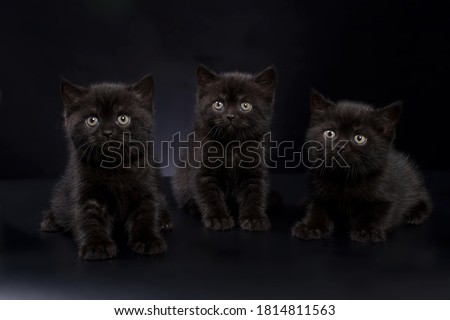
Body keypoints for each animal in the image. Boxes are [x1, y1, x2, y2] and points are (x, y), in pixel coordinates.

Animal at [41, 75, 171, 260]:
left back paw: (164, 219)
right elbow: (89, 218)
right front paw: (97, 245)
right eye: (92, 120)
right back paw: (50, 220)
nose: (108, 132)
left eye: (123, 118)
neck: (114, 167)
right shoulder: (85, 191)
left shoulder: (147, 185)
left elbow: (146, 213)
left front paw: (148, 240)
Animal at [171, 65, 276, 230]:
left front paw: (254, 218)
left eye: (245, 105)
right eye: (218, 104)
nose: (230, 116)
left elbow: (255, 194)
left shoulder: (254, 171)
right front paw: (218, 218)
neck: (230, 145)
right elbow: (210, 196)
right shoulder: (203, 171)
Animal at [292, 90, 432, 242]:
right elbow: (316, 209)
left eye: (359, 138)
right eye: (330, 133)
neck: (344, 180)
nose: (340, 146)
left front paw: (367, 230)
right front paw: (310, 226)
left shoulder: (389, 195)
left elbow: (378, 213)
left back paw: (414, 214)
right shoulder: (318, 194)